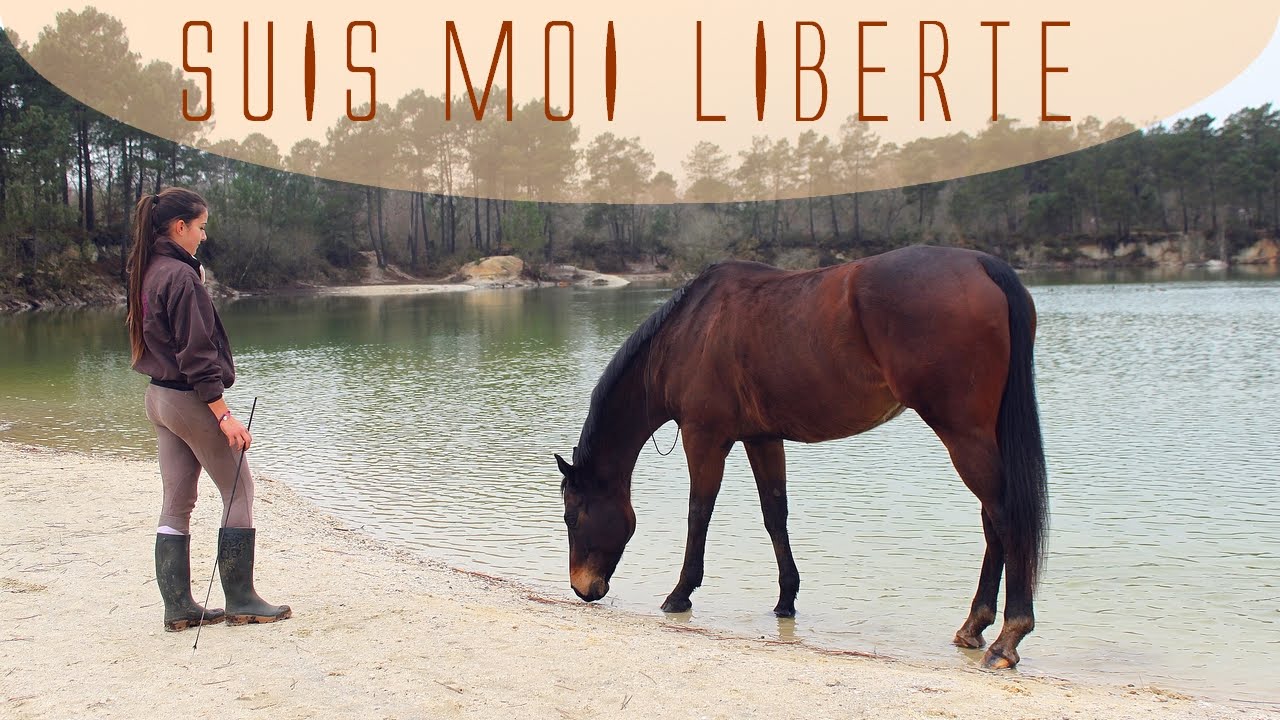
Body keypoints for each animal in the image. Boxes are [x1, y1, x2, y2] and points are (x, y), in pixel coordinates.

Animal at [555, 244, 1048, 669]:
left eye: (572, 517)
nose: (582, 588)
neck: (688, 333)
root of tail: (982, 265)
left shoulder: (704, 437)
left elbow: (699, 514)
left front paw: (680, 593)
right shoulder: (761, 439)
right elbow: (775, 515)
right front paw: (785, 600)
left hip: (963, 434)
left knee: (1004, 516)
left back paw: (1008, 636)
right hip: (979, 436)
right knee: (992, 520)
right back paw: (975, 625)